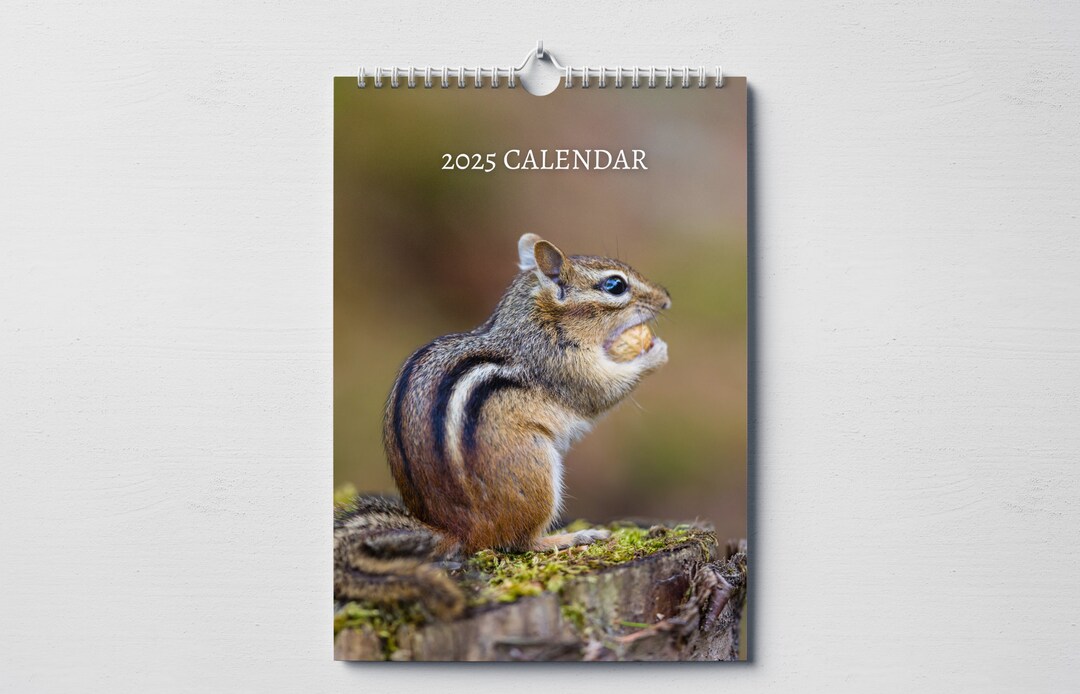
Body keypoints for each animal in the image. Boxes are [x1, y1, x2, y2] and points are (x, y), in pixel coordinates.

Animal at [335, 234, 671, 619]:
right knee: (521, 542)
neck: (538, 321)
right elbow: (602, 391)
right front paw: (654, 352)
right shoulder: (562, 366)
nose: (666, 297)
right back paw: (573, 537)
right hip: (534, 472)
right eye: (615, 285)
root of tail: (456, 531)